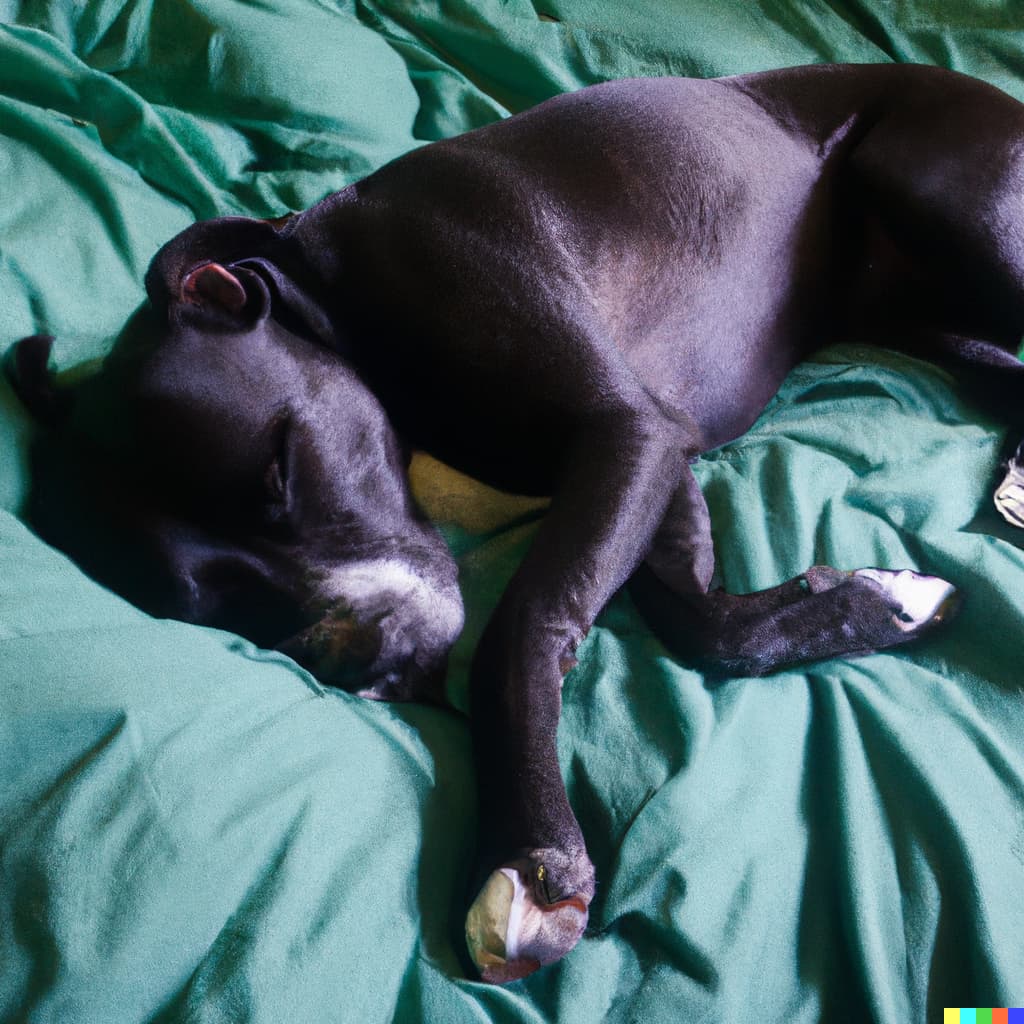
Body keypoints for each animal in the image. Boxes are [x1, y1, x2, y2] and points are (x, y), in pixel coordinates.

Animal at [8, 64, 1024, 983]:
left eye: (281, 469)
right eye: (213, 599)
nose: (377, 662)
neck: (340, 299)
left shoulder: (625, 431)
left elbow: (524, 629)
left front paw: (525, 856)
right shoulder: (658, 453)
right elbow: (698, 618)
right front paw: (873, 602)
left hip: (952, 206)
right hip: (926, 315)